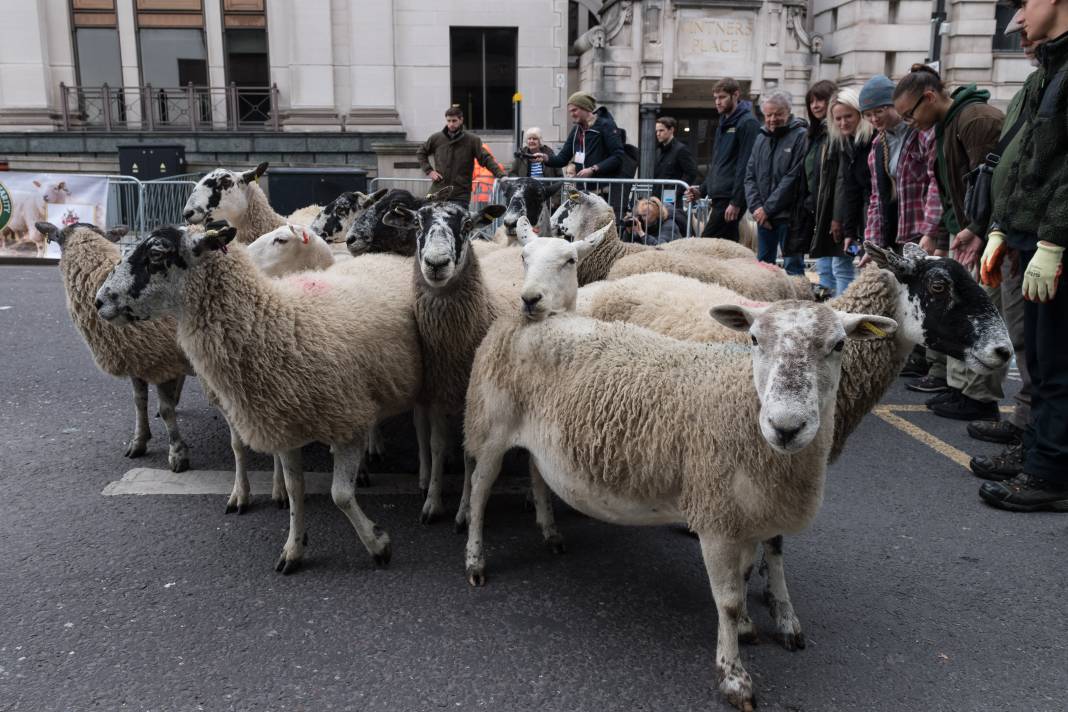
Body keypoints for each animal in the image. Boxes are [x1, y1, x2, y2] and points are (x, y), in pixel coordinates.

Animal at [95, 223, 420, 572]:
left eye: (156, 253)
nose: (99, 301)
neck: (278, 321)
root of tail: (387, 256)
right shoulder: (285, 423)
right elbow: (294, 489)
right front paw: (293, 548)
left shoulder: (348, 420)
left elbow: (340, 495)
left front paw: (378, 544)